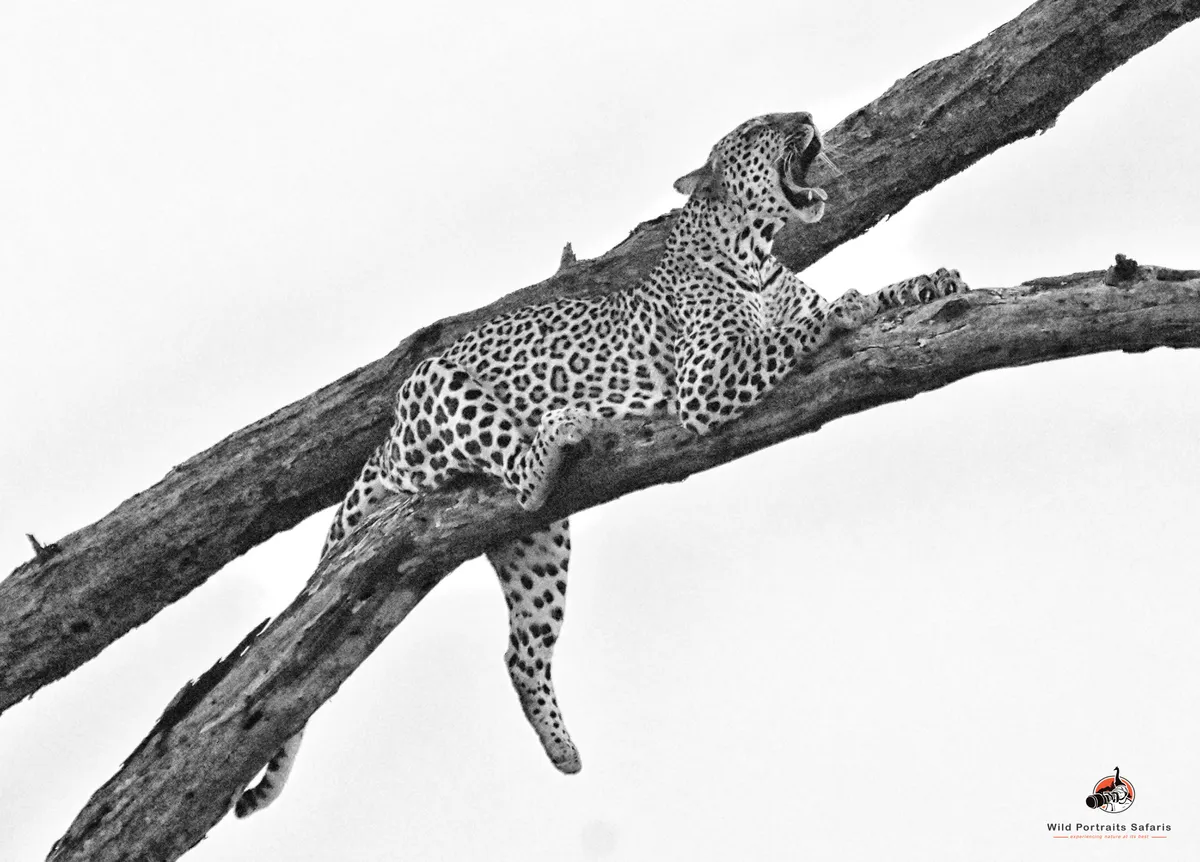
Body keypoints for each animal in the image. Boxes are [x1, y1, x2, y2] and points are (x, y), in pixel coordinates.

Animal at [234, 111, 968, 817]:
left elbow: (874, 296)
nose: (808, 116)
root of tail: (384, 437)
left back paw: (564, 753)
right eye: (759, 128)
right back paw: (563, 429)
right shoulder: (704, 383)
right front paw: (844, 308)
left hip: (536, 547)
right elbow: (787, 335)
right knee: (519, 479)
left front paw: (930, 281)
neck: (756, 253)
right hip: (446, 393)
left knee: (521, 651)